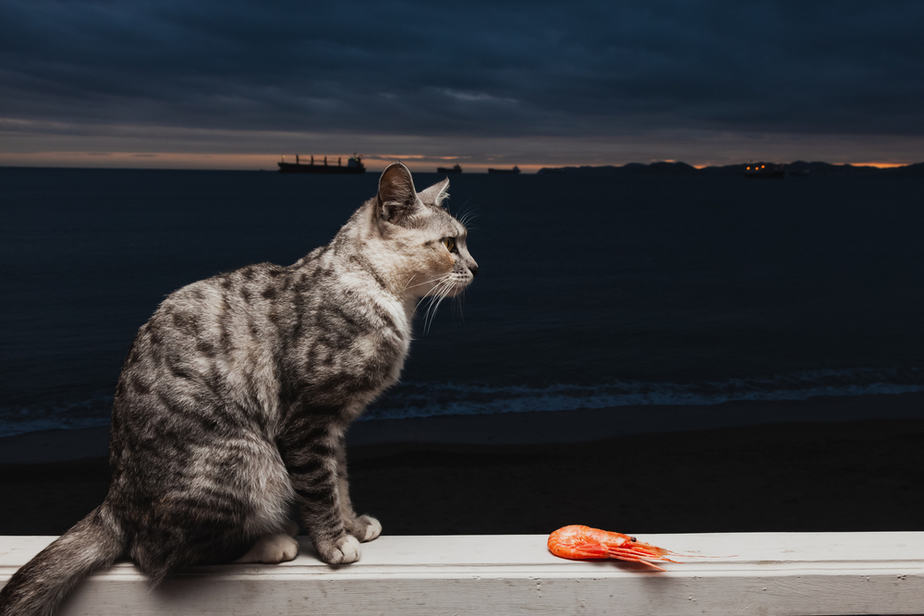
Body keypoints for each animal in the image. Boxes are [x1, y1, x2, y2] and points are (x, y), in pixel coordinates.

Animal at [0, 161, 476, 612]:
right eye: (450, 244)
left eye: (464, 242)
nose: (475, 267)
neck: (374, 288)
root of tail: (115, 500)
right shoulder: (307, 420)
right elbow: (320, 489)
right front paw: (333, 542)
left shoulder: (335, 424)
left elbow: (339, 481)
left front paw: (352, 523)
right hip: (250, 462)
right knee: (155, 554)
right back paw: (271, 542)